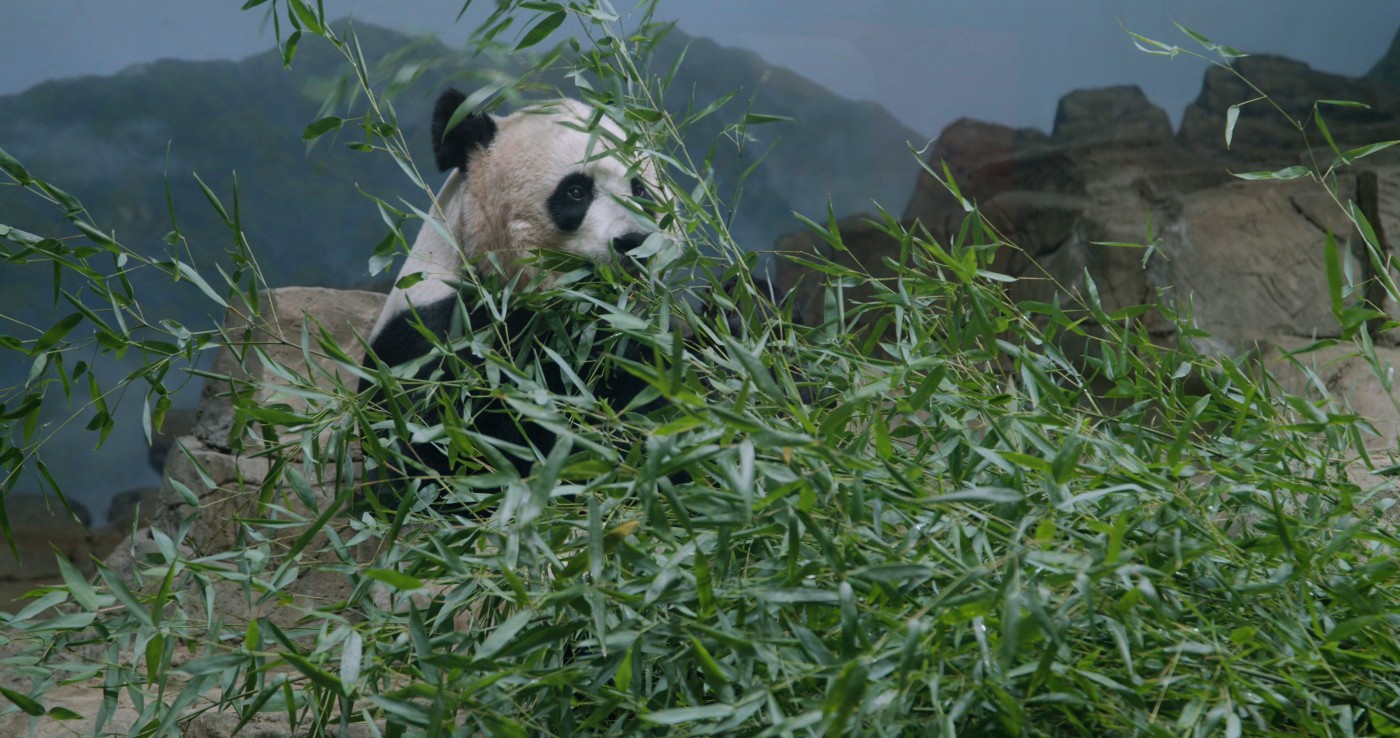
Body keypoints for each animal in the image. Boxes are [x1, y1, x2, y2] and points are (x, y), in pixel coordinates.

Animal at [358, 89, 669, 509]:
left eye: (640, 190)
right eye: (576, 191)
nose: (634, 242)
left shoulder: (620, 331)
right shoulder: (436, 336)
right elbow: (444, 454)